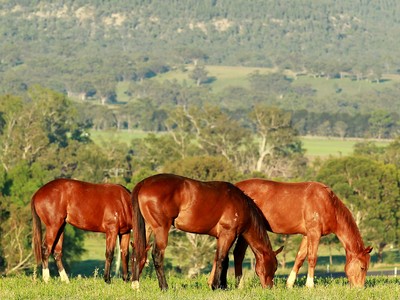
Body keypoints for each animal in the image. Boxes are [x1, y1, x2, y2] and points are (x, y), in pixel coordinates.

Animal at [130, 173, 282, 290]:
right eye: (274, 267)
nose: (269, 287)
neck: (241, 204)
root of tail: (144, 183)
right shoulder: (228, 234)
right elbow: (221, 259)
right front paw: (216, 286)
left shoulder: (222, 236)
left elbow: (223, 259)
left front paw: (223, 286)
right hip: (161, 229)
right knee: (157, 255)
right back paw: (164, 287)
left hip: (148, 228)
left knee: (139, 252)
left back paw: (135, 285)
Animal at [231, 179, 372, 288]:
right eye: (362, 268)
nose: (359, 288)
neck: (327, 202)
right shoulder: (314, 233)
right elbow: (312, 258)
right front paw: (310, 285)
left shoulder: (307, 235)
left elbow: (300, 258)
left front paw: (289, 284)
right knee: (238, 254)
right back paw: (240, 285)